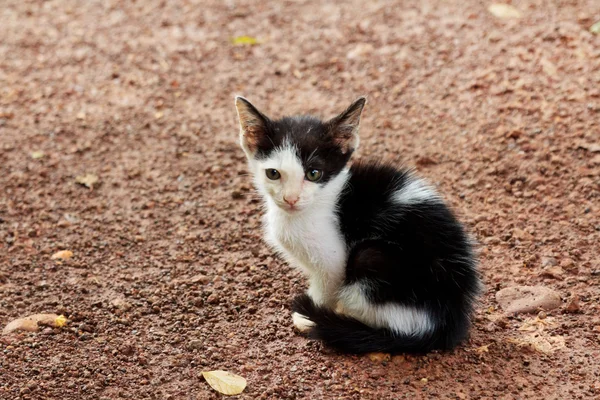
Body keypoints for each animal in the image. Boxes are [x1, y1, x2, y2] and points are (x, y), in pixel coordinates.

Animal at [236, 96, 482, 354]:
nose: (291, 199)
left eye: (314, 173)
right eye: (273, 173)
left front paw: (311, 315)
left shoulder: (334, 262)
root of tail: (448, 321)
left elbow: (326, 287)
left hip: (372, 261)